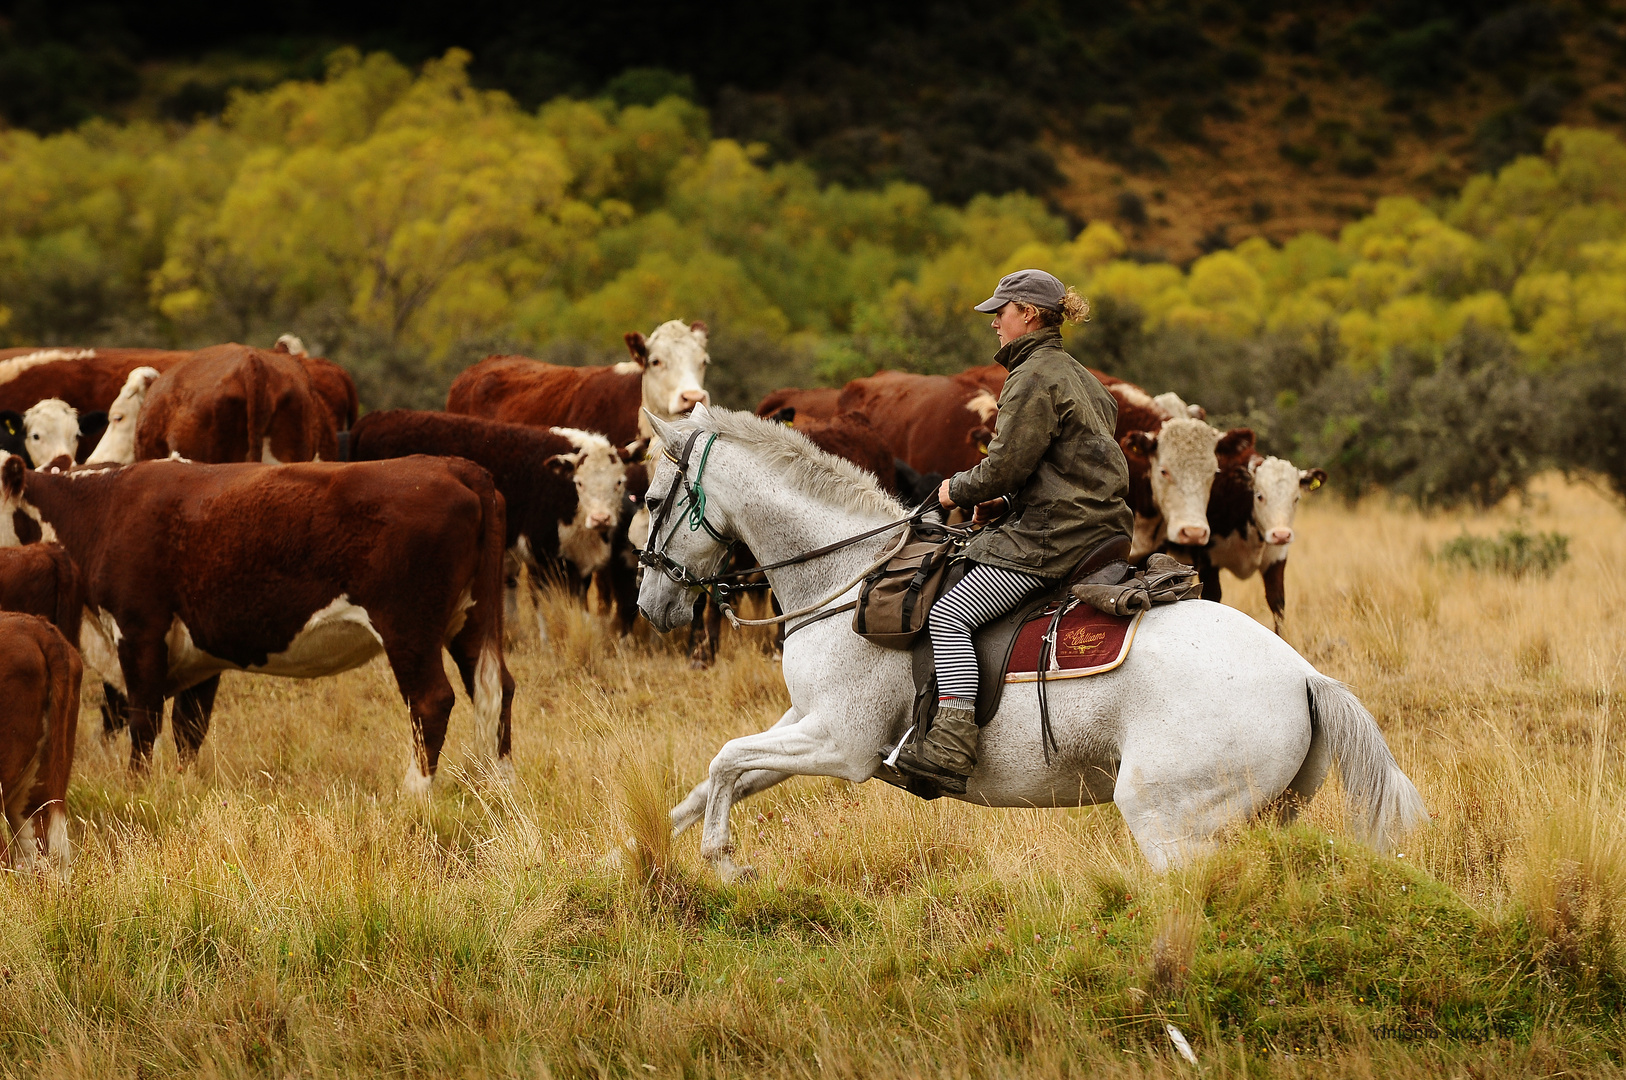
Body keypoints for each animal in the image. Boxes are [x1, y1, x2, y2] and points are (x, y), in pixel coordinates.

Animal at [0, 452, 513, 790]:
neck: (101, 510)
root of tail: (455, 466)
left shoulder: (140, 630)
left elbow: (144, 722)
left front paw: (138, 790)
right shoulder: (200, 653)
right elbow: (190, 729)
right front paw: (185, 789)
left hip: (409, 627)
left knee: (432, 700)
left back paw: (414, 794)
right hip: (470, 621)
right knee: (495, 691)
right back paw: (498, 787)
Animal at [634, 409, 1424, 884]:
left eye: (649, 500)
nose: (651, 605)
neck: (849, 576)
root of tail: (1304, 677)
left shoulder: (841, 743)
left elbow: (726, 760)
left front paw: (723, 860)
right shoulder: (803, 724)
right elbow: (720, 778)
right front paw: (641, 850)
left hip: (1169, 824)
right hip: (1257, 821)